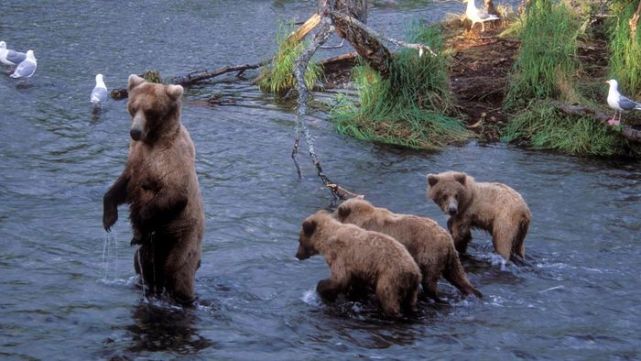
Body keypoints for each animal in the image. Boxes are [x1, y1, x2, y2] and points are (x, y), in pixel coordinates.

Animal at [102, 74, 204, 304]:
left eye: (150, 110)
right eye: (133, 107)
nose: (135, 131)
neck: (153, 140)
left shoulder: (172, 159)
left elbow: (173, 195)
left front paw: (138, 225)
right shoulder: (136, 156)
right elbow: (123, 185)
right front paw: (109, 218)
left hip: (183, 235)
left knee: (179, 271)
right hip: (151, 250)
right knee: (142, 264)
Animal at [336, 197, 480, 300]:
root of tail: (447, 240)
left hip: (429, 253)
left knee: (430, 281)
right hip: (450, 258)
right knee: (457, 275)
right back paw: (474, 292)